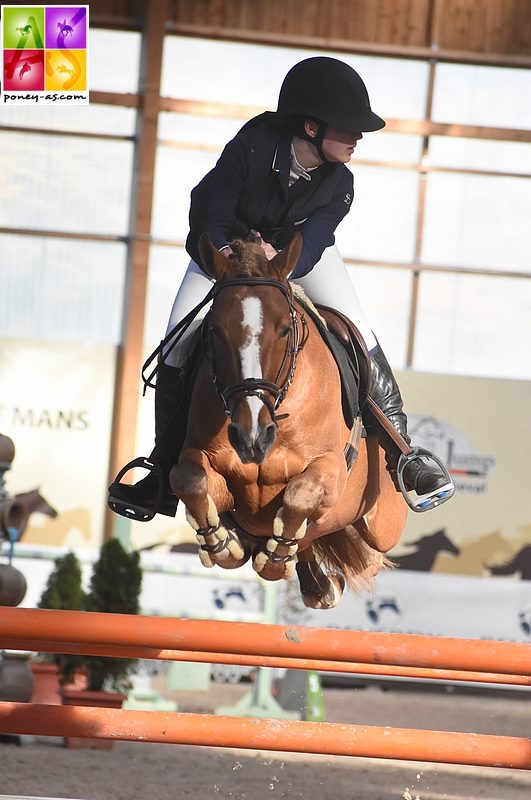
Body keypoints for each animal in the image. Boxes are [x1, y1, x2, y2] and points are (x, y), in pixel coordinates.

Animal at [168, 234, 410, 608]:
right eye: (215, 331)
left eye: (284, 330)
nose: (252, 437)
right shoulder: (202, 457)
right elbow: (188, 478)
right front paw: (222, 542)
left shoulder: (329, 468)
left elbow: (301, 494)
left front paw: (275, 559)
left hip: (384, 521)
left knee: (363, 550)